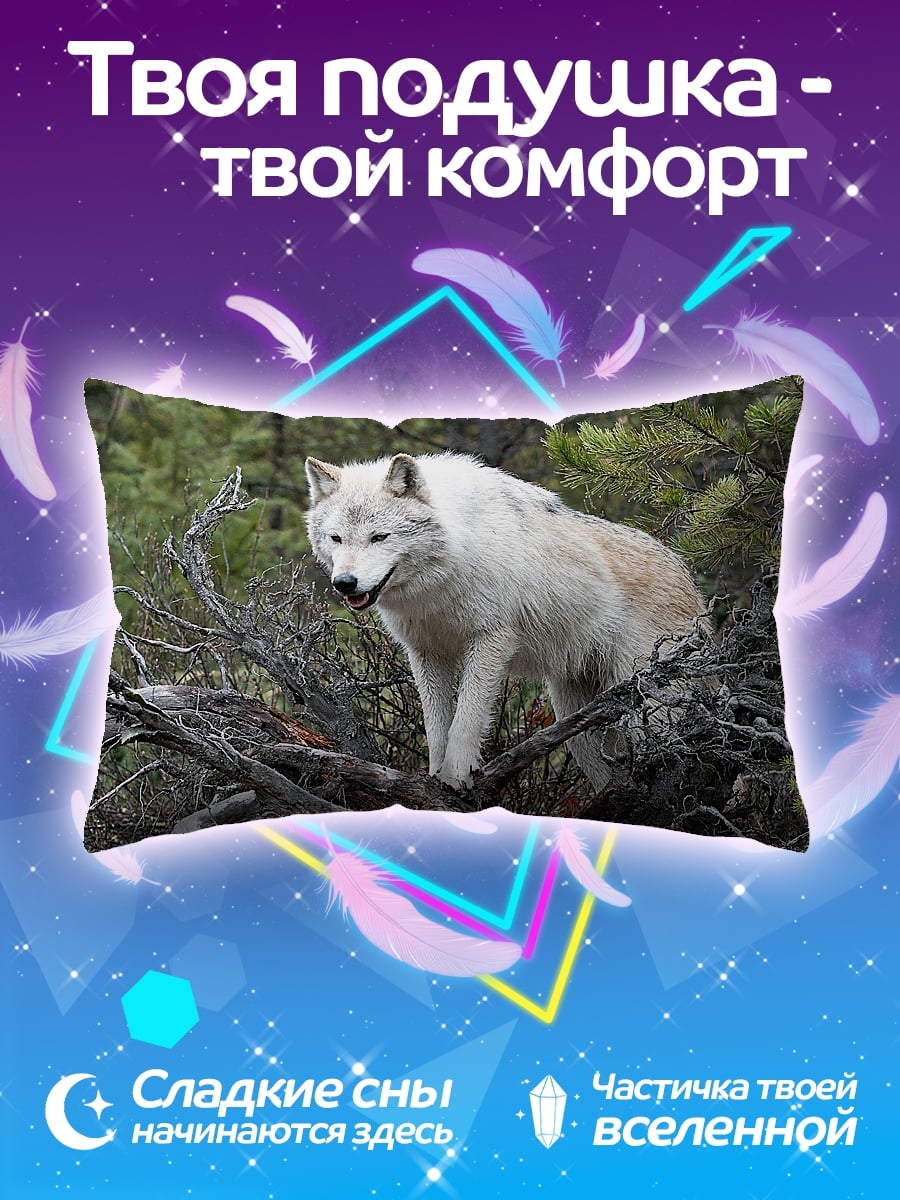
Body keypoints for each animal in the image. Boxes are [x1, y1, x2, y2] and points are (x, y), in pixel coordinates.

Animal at [305, 452, 703, 792]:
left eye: (379, 537)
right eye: (336, 538)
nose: (345, 583)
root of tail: (690, 581)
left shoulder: (491, 641)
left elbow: (466, 719)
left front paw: (456, 776)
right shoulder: (426, 653)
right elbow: (436, 726)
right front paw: (434, 774)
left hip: (644, 710)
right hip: (576, 720)